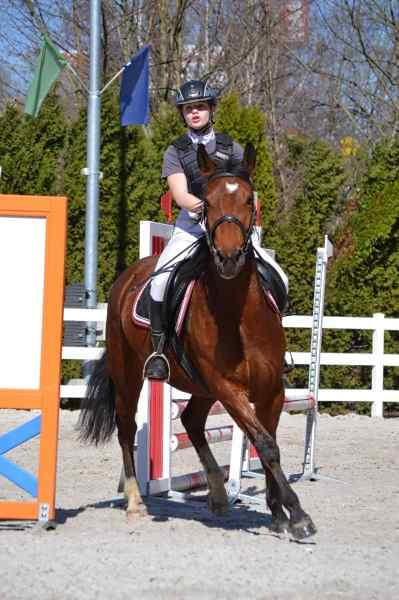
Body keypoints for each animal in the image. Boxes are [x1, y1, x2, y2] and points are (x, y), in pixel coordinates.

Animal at [79, 143, 318, 540]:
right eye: (206, 201)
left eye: (249, 199)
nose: (228, 257)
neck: (237, 315)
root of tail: (129, 276)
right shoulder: (228, 388)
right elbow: (265, 443)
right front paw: (297, 514)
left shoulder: (271, 388)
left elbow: (268, 440)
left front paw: (277, 512)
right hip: (129, 373)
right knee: (126, 427)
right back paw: (135, 500)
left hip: (202, 387)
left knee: (191, 421)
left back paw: (219, 495)